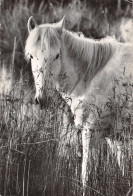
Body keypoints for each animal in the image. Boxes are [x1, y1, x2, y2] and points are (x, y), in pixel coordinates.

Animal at [25, 16, 133, 194]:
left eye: (57, 56)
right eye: (32, 56)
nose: (42, 99)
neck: (92, 75)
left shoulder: (91, 131)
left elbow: (85, 174)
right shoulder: (114, 137)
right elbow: (123, 168)